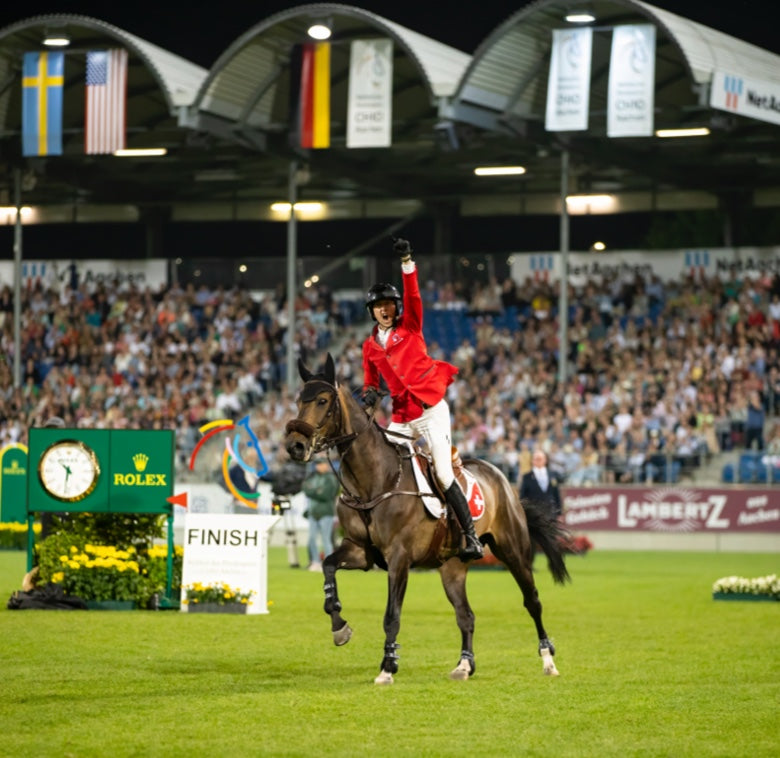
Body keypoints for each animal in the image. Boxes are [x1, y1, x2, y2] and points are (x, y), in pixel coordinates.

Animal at [284, 356, 568, 688]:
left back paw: (548, 660)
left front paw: (388, 667)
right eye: (298, 401)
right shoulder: (358, 550)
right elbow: (328, 566)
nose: (295, 445)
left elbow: (391, 615)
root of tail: (503, 479)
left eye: (322, 400)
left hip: (513, 550)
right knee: (466, 615)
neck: (375, 480)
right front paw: (339, 626)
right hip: (452, 567)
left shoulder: (399, 558)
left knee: (532, 601)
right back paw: (464, 666)